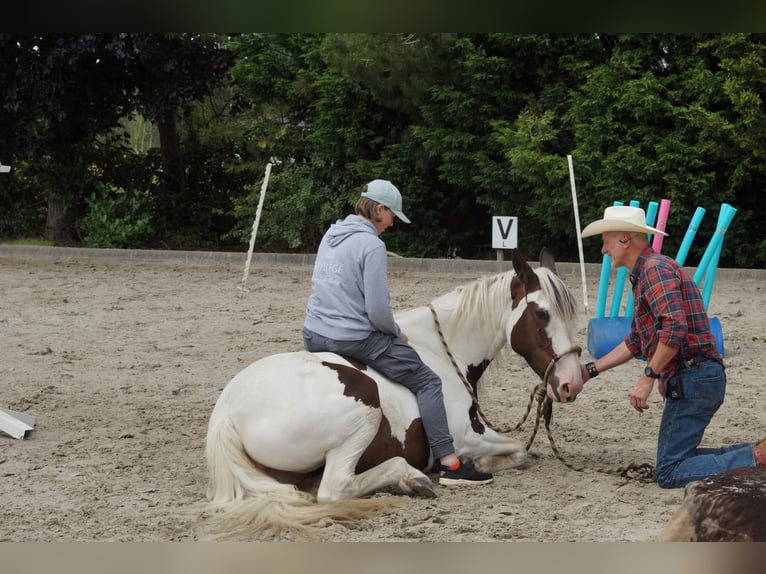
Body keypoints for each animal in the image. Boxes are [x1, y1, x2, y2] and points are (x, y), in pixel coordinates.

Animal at [204, 248, 582, 539]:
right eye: (541, 313)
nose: (571, 383)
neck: (442, 350)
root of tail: (227, 412)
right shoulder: (465, 436)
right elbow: (520, 450)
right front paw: (467, 468)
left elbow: (520, 451)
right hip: (365, 410)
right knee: (335, 488)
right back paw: (410, 478)